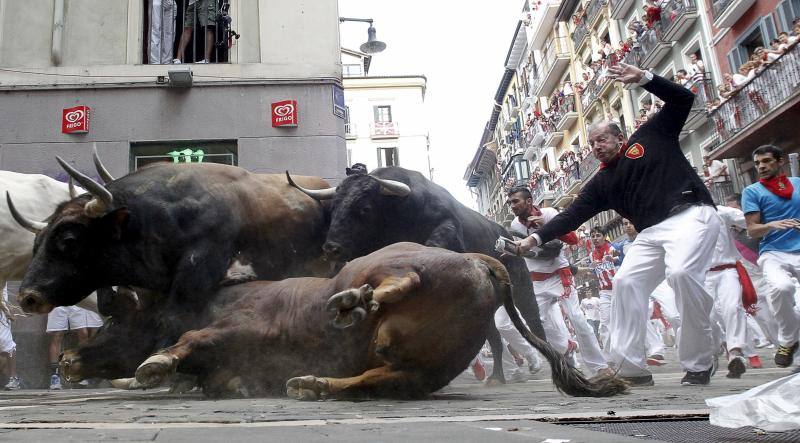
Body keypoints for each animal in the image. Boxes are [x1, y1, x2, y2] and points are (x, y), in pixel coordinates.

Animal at [128, 245, 624, 400]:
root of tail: (481, 261)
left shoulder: (237, 325)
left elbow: (190, 338)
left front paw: (153, 366)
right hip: (421, 369)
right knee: (376, 376)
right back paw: (312, 382)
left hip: (382, 261)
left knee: (401, 277)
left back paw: (353, 303)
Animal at [290, 168, 552, 384]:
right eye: (333, 208)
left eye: (364, 208)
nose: (331, 248)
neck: (400, 216)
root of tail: (506, 234)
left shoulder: (446, 227)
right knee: (495, 337)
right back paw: (496, 377)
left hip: (522, 288)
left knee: (534, 321)